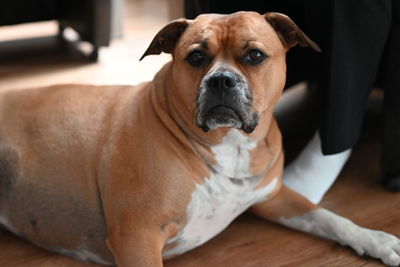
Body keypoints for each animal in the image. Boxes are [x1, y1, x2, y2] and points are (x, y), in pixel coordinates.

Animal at [0, 11, 400, 266]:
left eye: (255, 55)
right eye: (195, 57)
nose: (221, 79)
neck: (229, 147)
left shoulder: (274, 198)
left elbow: (330, 217)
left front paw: (377, 240)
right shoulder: (137, 237)